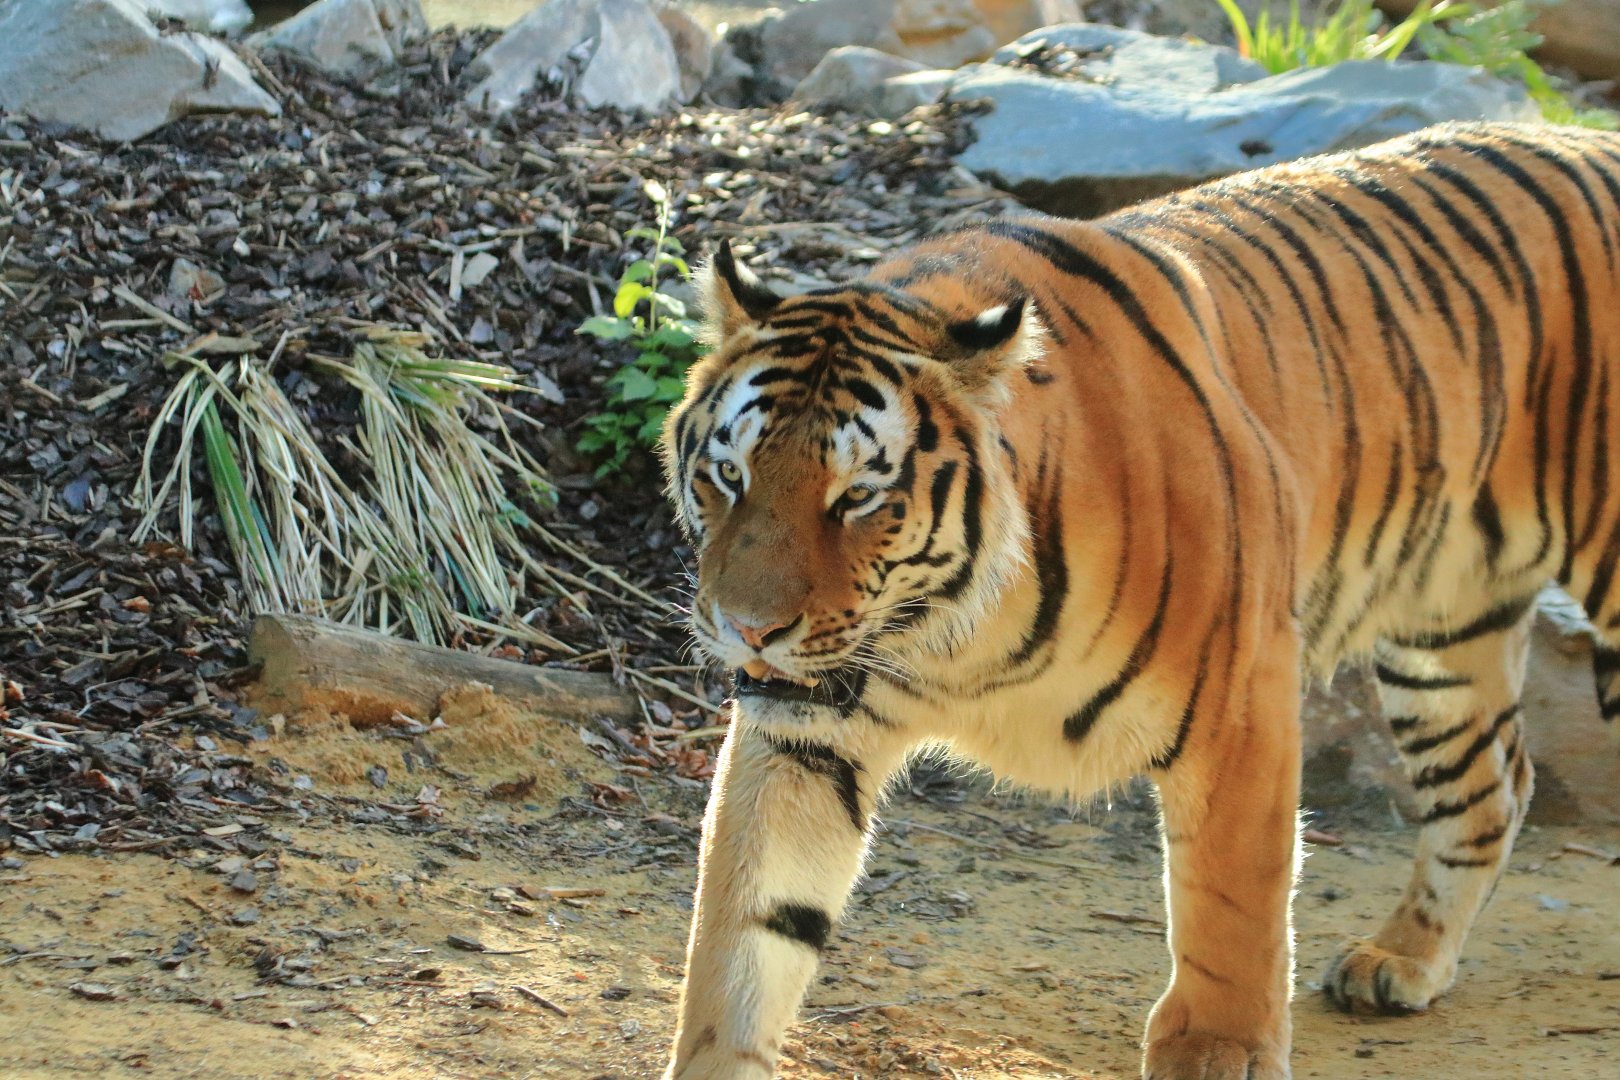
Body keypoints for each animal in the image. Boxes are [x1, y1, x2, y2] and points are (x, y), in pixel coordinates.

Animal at [656, 121, 1620, 1080]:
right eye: (729, 475)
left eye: (858, 496)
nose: (749, 629)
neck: (956, 635)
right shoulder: (808, 730)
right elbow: (747, 927)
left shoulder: (1242, 703)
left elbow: (1232, 900)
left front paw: (1219, 1048)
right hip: (1441, 633)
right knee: (1493, 784)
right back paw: (1403, 959)